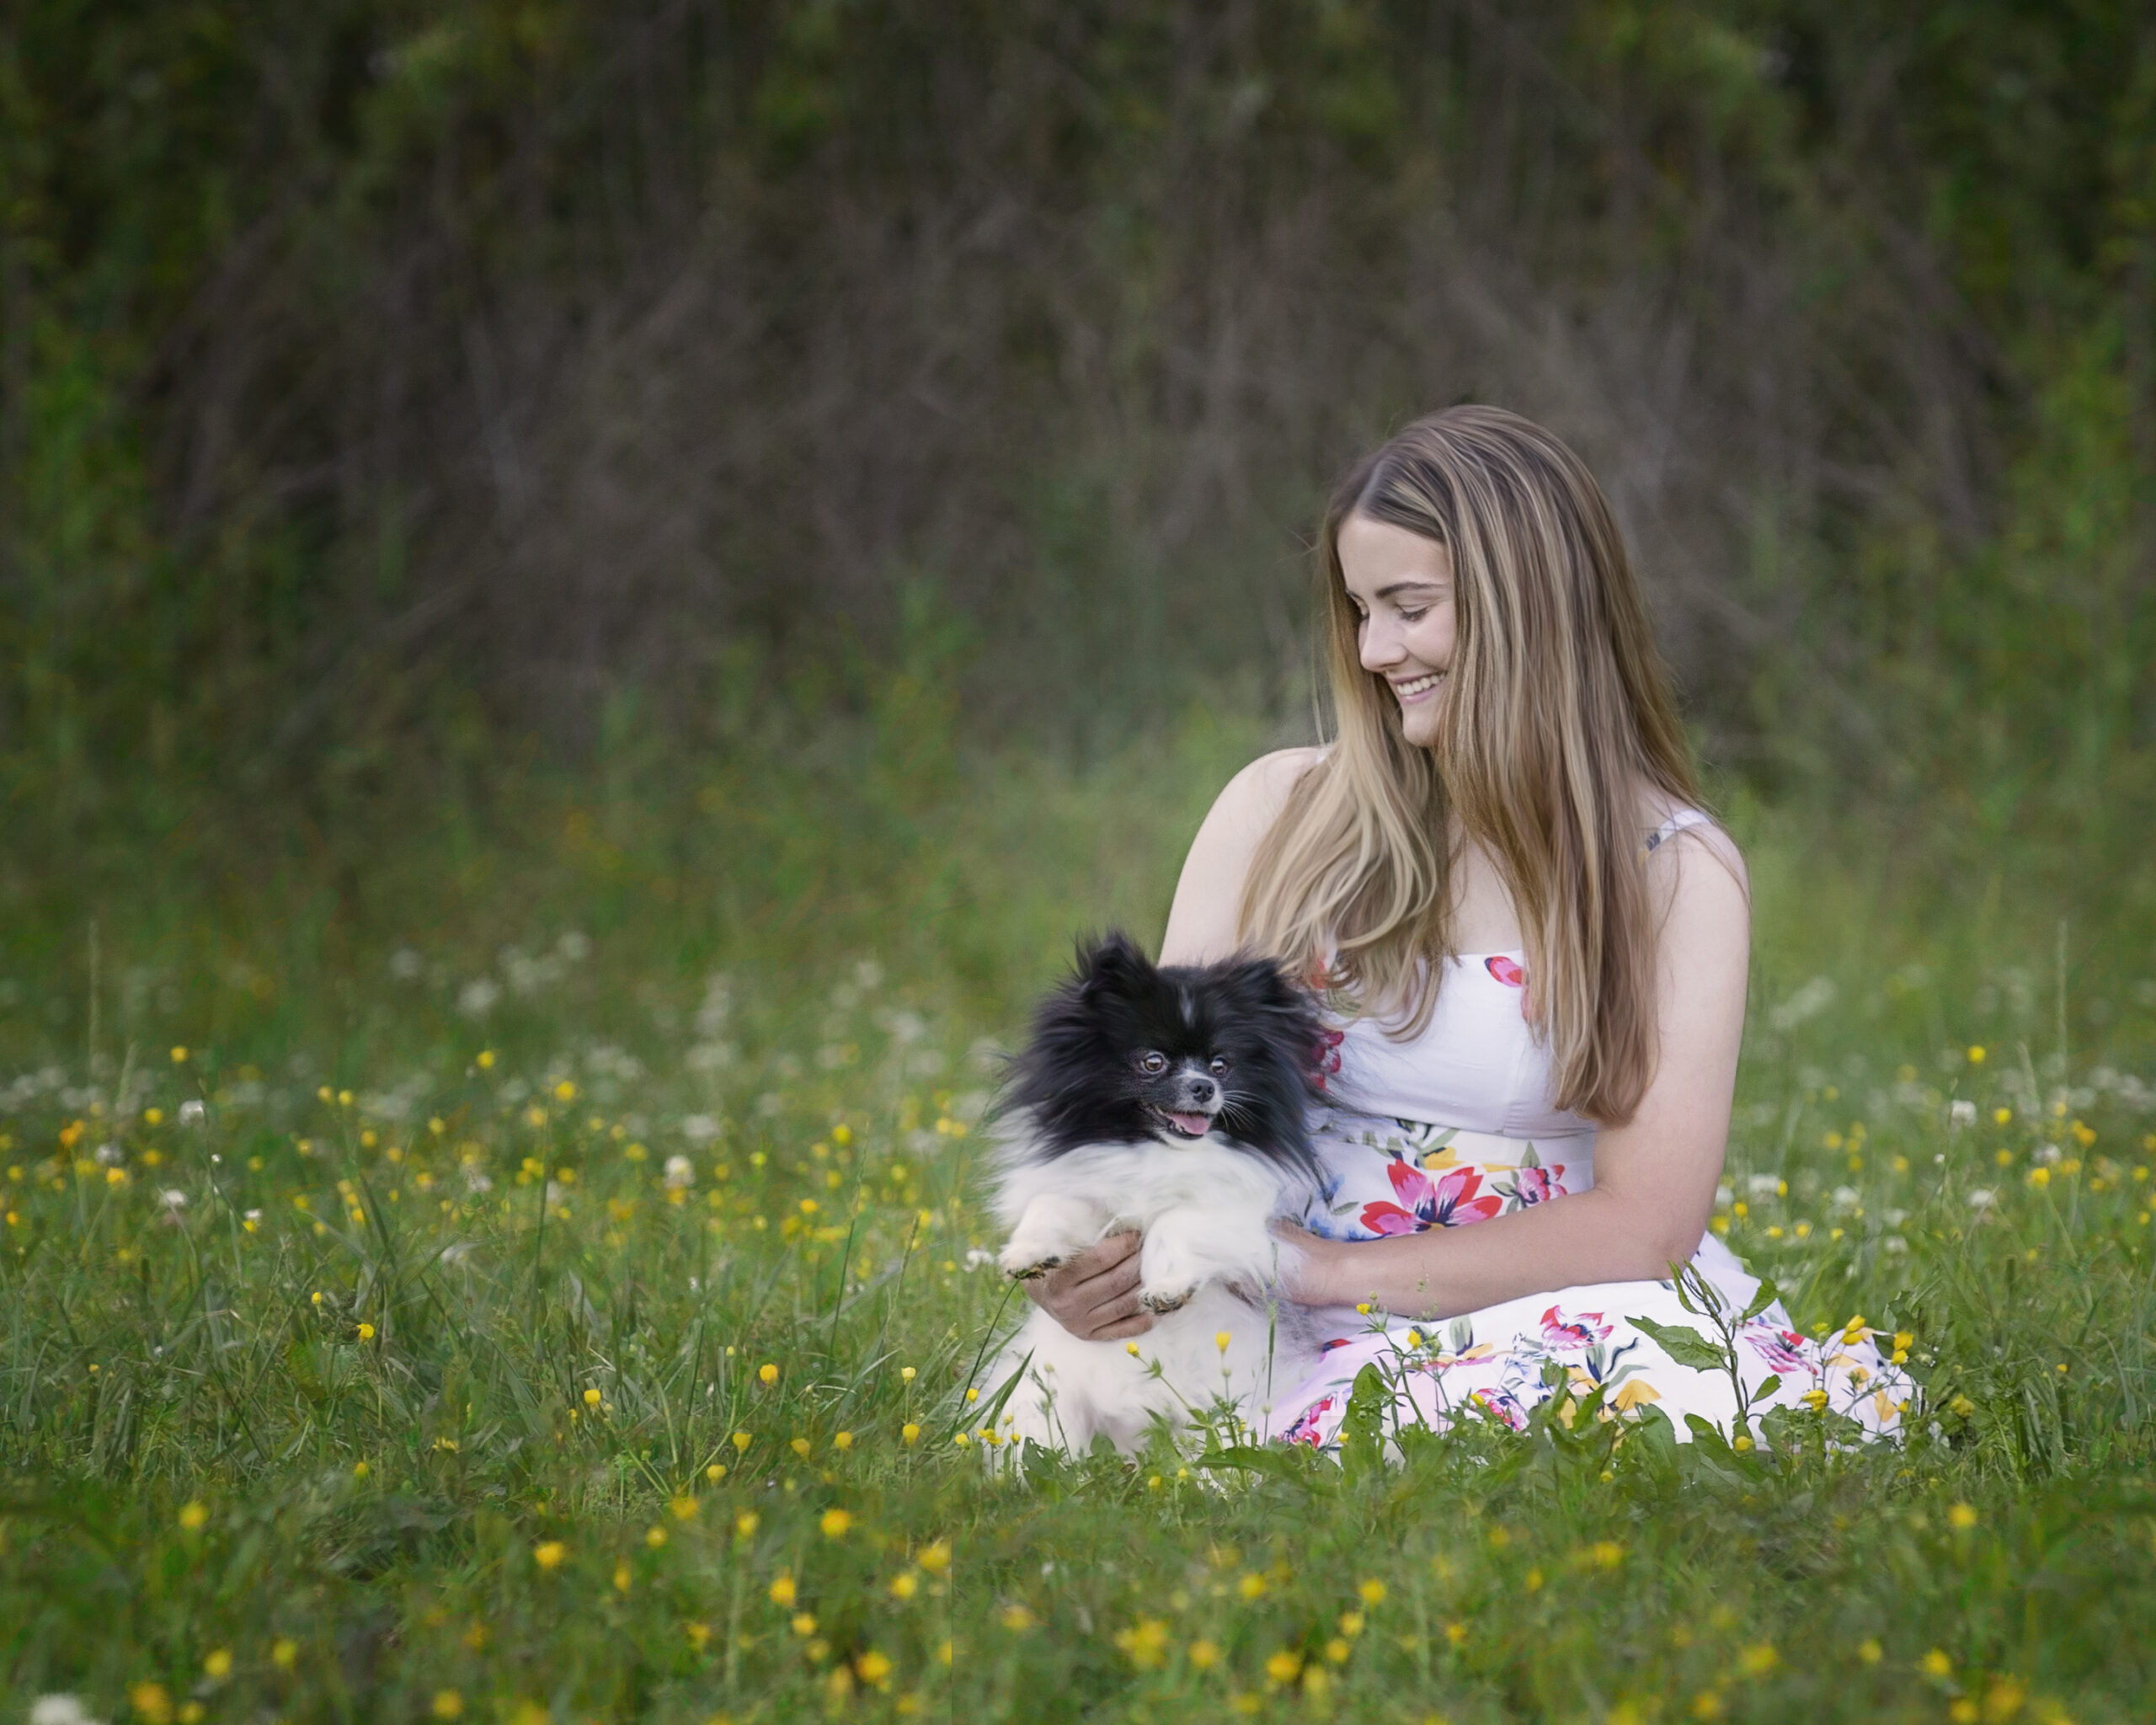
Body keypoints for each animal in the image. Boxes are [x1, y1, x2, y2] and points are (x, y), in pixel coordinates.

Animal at [983, 931, 1327, 1457]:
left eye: (1221, 1065)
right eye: (1153, 1063)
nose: (1203, 1087)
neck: (1159, 1152)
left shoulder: (1241, 1214)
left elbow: (1177, 1220)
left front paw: (1165, 1287)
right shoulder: (1092, 1195)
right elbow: (1054, 1202)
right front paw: (1029, 1254)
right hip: (1043, 1402)